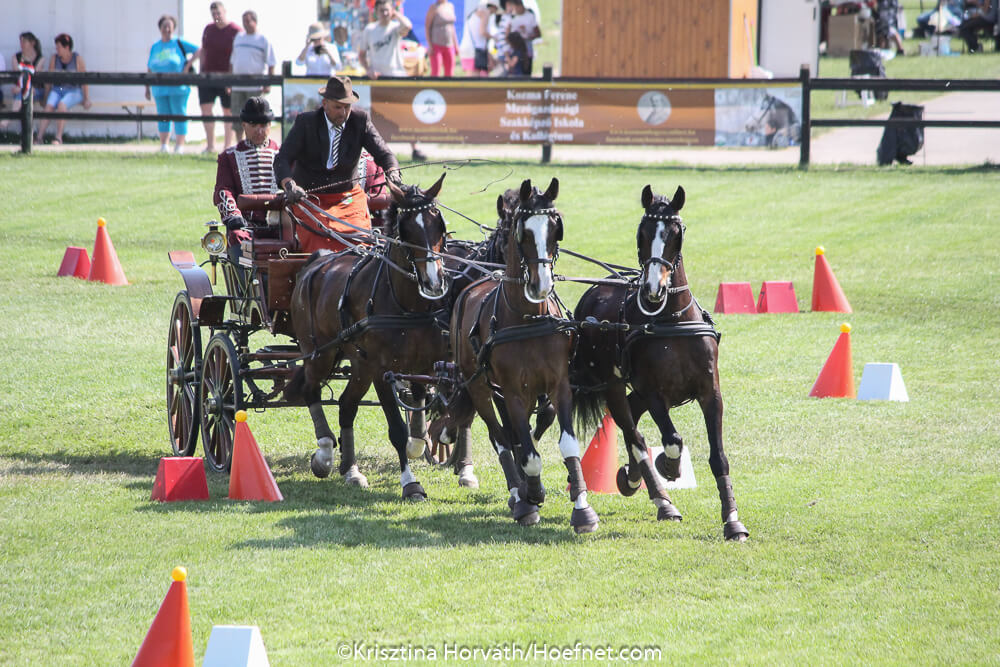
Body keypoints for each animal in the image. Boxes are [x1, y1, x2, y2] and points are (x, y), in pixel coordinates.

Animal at [284, 173, 476, 499]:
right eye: (406, 231)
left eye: (439, 225)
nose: (435, 282)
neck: (407, 304)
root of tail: (317, 261)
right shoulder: (383, 370)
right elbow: (398, 429)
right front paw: (410, 483)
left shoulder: (425, 365)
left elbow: (419, 428)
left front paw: (422, 447)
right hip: (321, 354)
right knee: (311, 391)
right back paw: (324, 454)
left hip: (360, 365)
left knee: (346, 405)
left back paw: (351, 471)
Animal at [432, 178, 599, 533]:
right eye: (522, 233)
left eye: (555, 230)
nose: (541, 285)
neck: (528, 318)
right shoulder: (511, 391)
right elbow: (527, 452)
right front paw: (530, 495)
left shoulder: (558, 386)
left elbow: (565, 443)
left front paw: (582, 509)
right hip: (480, 387)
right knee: (500, 437)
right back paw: (518, 494)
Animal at [571, 185, 749, 541]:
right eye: (642, 232)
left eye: (675, 234)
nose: (654, 288)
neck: (672, 321)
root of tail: (593, 293)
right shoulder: (654, 393)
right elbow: (672, 440)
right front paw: (668, 466)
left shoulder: (711, 393)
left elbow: (718, 457)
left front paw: (732, 519)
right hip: (613, 384)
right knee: (633, 432)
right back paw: (655, 494)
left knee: (631, 421)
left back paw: (636, 479)